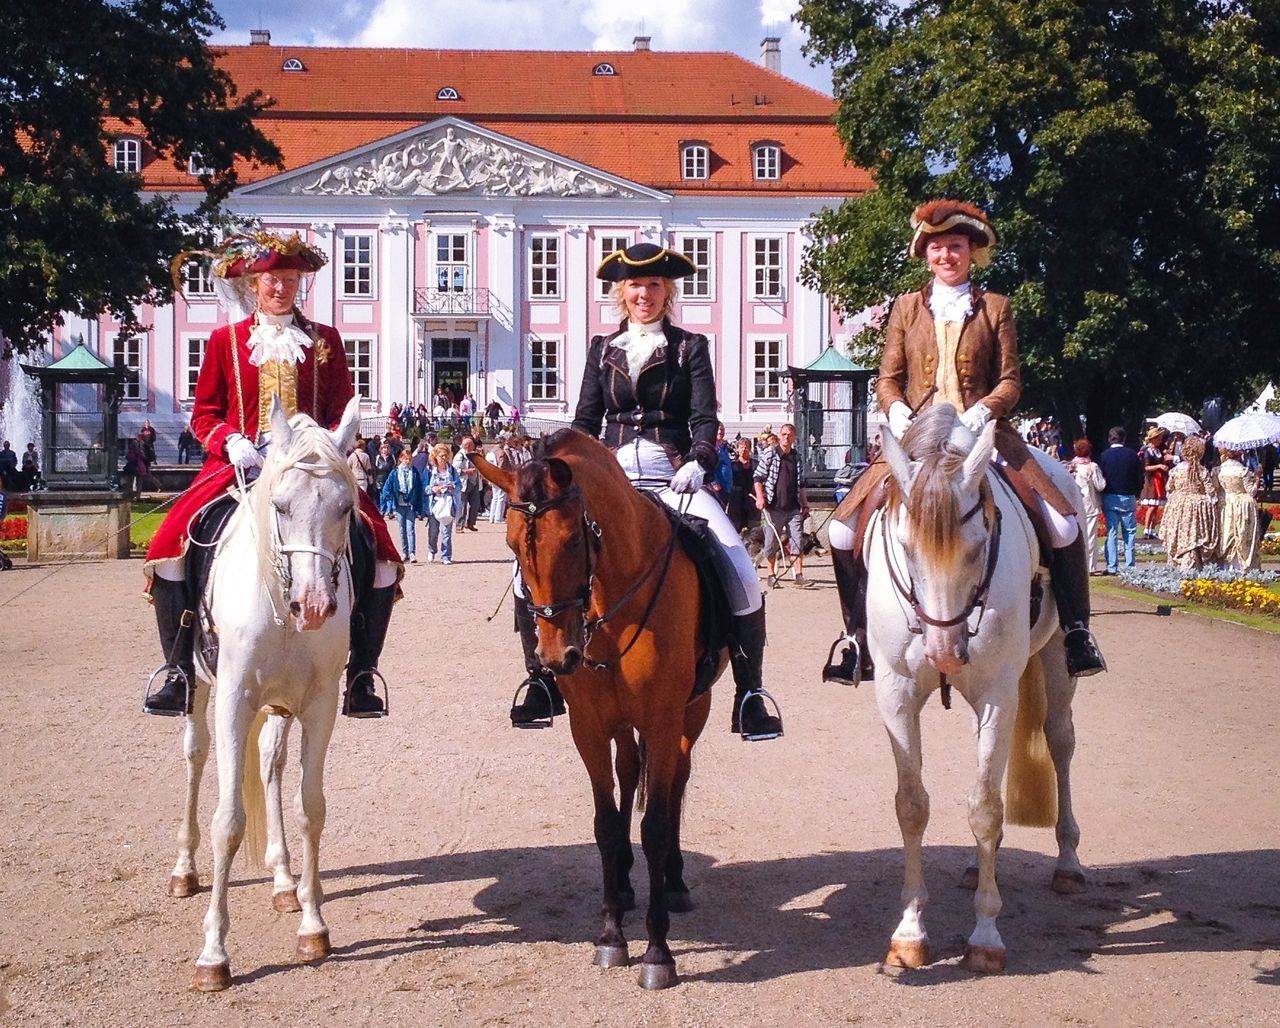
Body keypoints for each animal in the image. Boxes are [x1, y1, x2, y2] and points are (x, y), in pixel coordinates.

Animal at [162, 396, 360, 993]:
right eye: (280, 504)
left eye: (346, 507)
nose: (313, 606)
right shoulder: (234, 698)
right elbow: (228, 822)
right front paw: (213, 953)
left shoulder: (319, 705)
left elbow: (310, 808)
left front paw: (314, 926)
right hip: (200, 689)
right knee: (196, 757)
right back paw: (184, 869)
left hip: (280, 705)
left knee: (271, 761)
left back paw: (283, 880)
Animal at [473, 425, 721, 988]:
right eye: (512, 544)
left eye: (572, 540)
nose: (556, 657)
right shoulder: (588, 727)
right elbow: (606, 824)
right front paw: (611, 935)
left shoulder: (663, 718)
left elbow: (656, 824)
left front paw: (657, 952)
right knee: (630, 772)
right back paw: (627, 886)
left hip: (693, 712)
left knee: (676, 782)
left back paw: (672, 882)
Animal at [870, 407, 1080, 978]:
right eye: (905, 548)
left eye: (978, 545)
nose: (945, 653)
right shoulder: (895, 694)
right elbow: (912, 805)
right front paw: (909, 931)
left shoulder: (996, 693)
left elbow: (986, 807)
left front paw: (986, 934)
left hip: (1056, 660)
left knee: (1060, 742)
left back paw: (1068, 862)